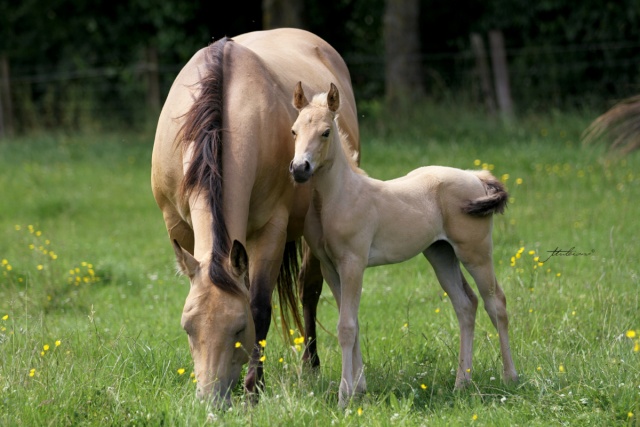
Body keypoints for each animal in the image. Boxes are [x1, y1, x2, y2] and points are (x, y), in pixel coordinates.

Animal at [151, 30, 360, 408]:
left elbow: (260, 306)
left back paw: (310, 364)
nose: (211, 400)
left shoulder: (270, 230)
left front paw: (253, 388)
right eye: (188, 328)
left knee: (309, 291)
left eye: (238, 328)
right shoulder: (179, 228)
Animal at [290, 82, 520, 406]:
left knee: (495, 303)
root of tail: (476, 177)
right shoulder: (330, 268)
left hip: (475, 253)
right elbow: (353, 323)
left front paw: (344, 397)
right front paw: (358, 389)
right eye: (294, 131)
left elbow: (346, 327)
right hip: (440, 254)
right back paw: (462, 382)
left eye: (325, 132)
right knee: (466, 304)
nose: (300, 169)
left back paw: (510, 377)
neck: (339, 196)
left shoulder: (353, 263)